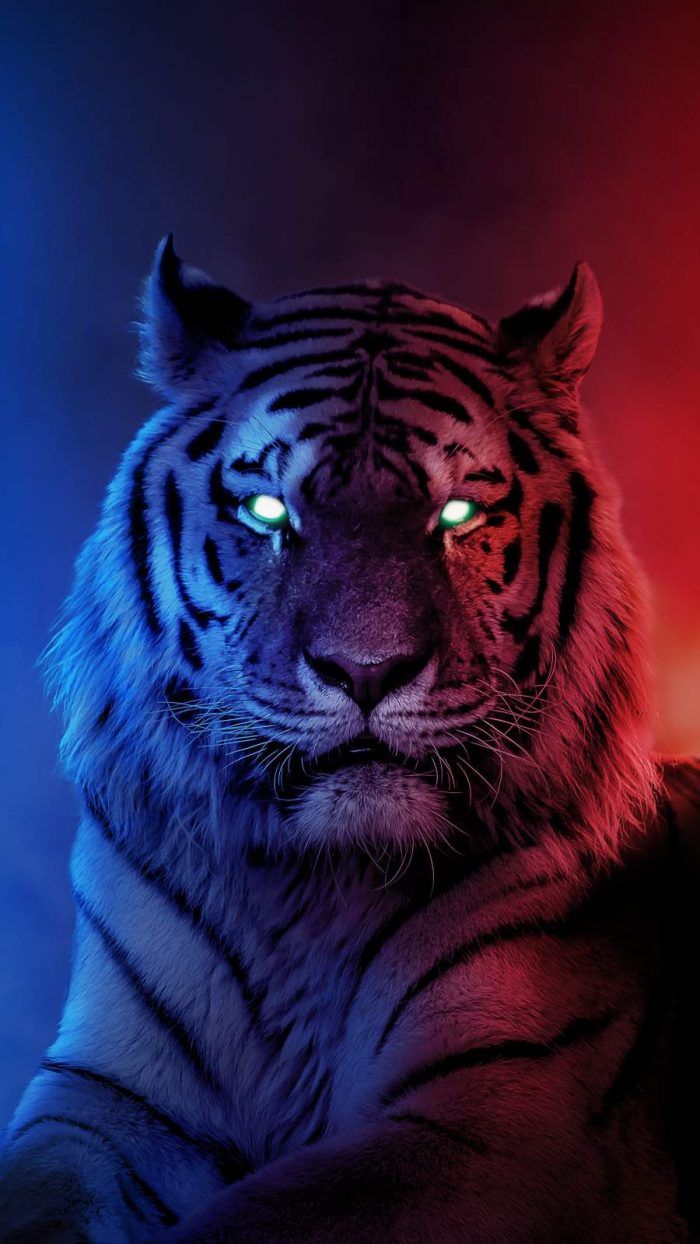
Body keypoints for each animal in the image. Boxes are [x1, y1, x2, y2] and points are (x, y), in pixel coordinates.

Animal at [1, 234, 699, 1243]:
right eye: (267, 512)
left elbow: (255, 1220)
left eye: (457, 516)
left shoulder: (501, 1118)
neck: (311, 887)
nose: (366, 672)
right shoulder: (106, 1097)